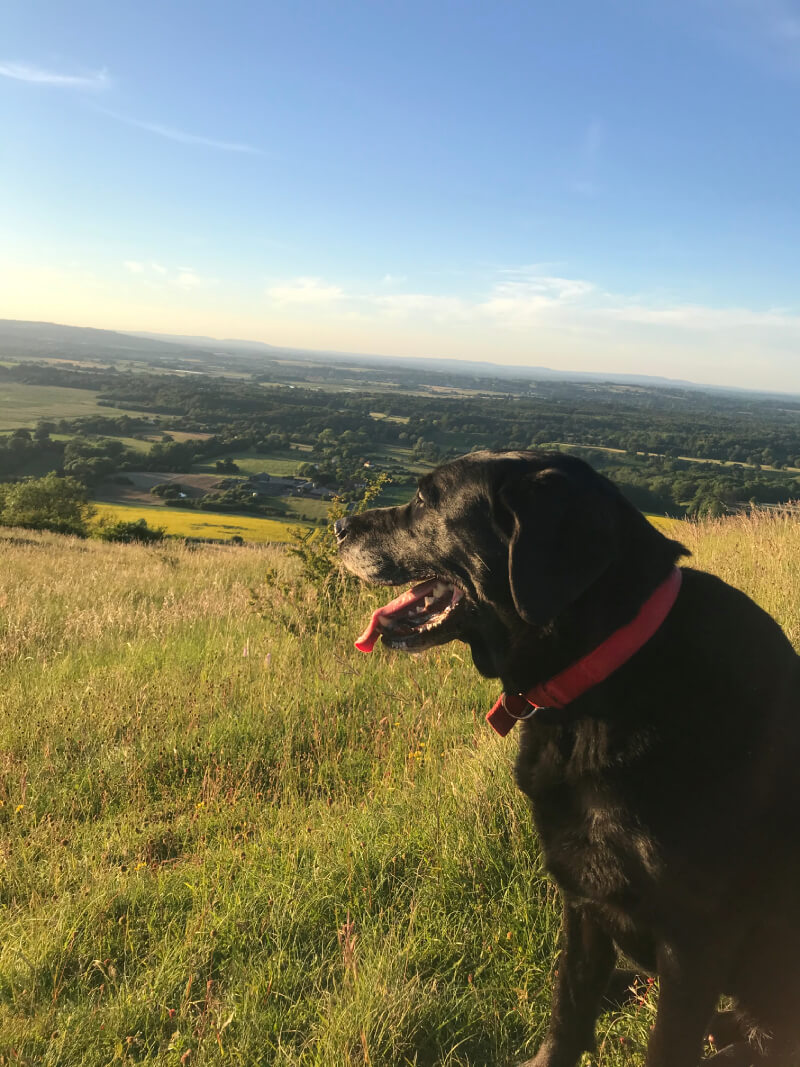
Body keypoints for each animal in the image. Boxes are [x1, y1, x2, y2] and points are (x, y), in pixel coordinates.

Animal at [337, 452, 800, 1067]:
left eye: (425, 497)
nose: (339, 527)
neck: (601, 674)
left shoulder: (695, 937)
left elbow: (664, 1041)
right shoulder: (583, 896)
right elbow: (570, 1004)